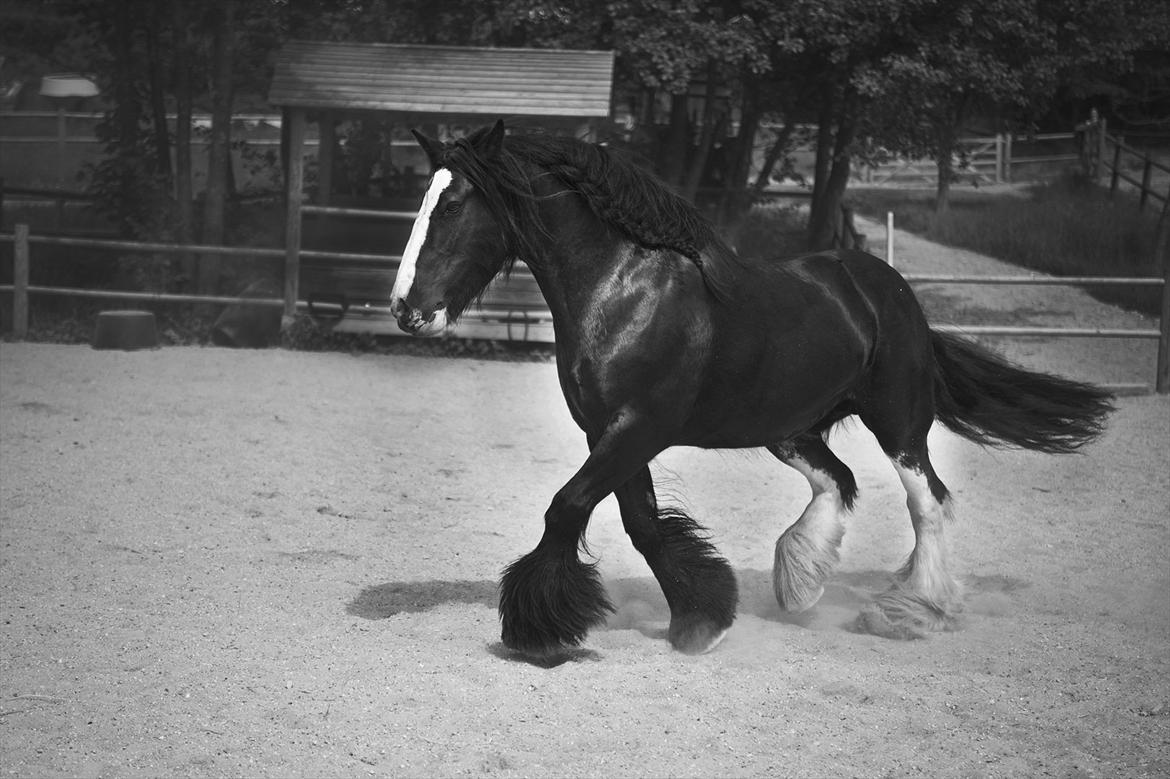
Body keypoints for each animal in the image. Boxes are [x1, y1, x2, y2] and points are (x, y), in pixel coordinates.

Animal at [388, 121, 1109, 655]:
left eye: (453, 205)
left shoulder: (637, 427)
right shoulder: (611, 432)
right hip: (789, 427)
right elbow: (641, 523)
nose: (405, 309)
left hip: (899, 423)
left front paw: (538, 627)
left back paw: (912, 610)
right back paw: (801, 585)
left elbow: (568, 507)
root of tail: (892, 292)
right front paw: (701, 616)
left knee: (927, 500)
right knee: (839, 480)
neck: (622, 291)